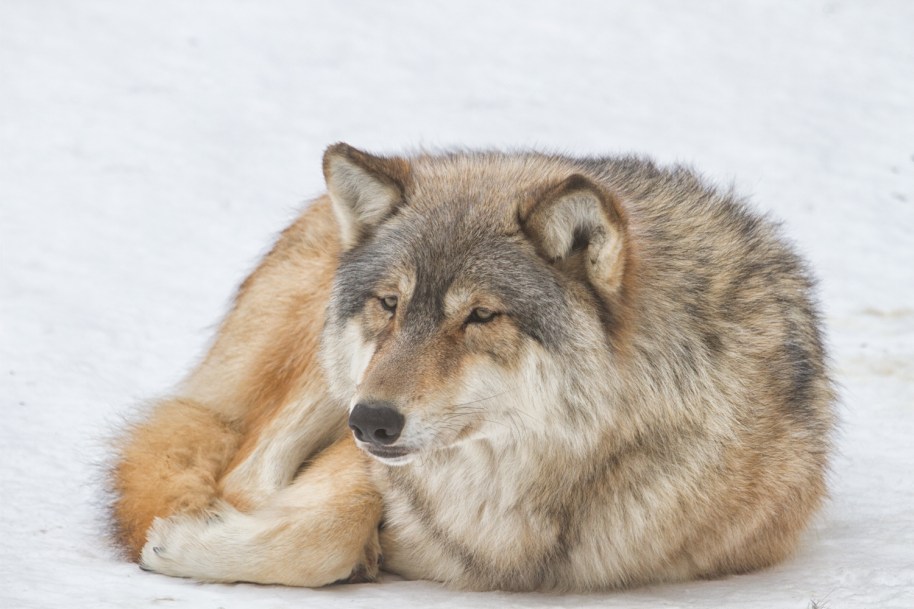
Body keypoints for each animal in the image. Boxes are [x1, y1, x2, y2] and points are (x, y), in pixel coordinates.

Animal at [110, 144, 835, 591]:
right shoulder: (366, 462)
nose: (371, 421)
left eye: (481, 315)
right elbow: (322, 532)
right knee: (243, 473)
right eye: (391, 304)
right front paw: (181, 543)